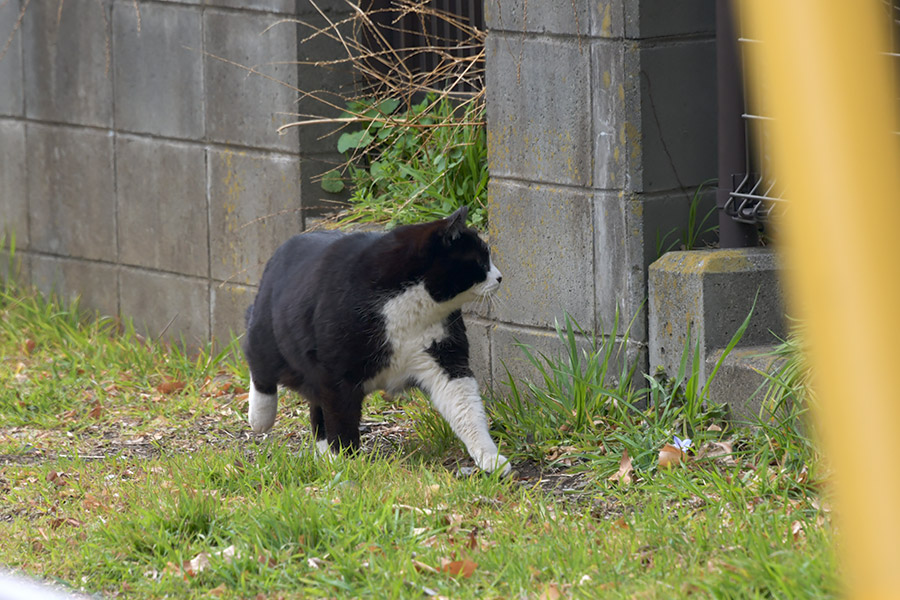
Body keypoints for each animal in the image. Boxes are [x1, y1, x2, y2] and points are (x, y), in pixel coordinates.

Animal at [243, 209, 510, 476]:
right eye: (480, 261)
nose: (499, 277)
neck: (410, 308)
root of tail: (287, 243)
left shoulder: (445, 358)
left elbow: (466, 408)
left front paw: (490, 457)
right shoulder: (336, 375)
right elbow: (342, 419)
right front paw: (346, 463)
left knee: (316, 408)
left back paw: (324, 453)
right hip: (268, 334)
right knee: (258, 361)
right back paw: (259, 418)